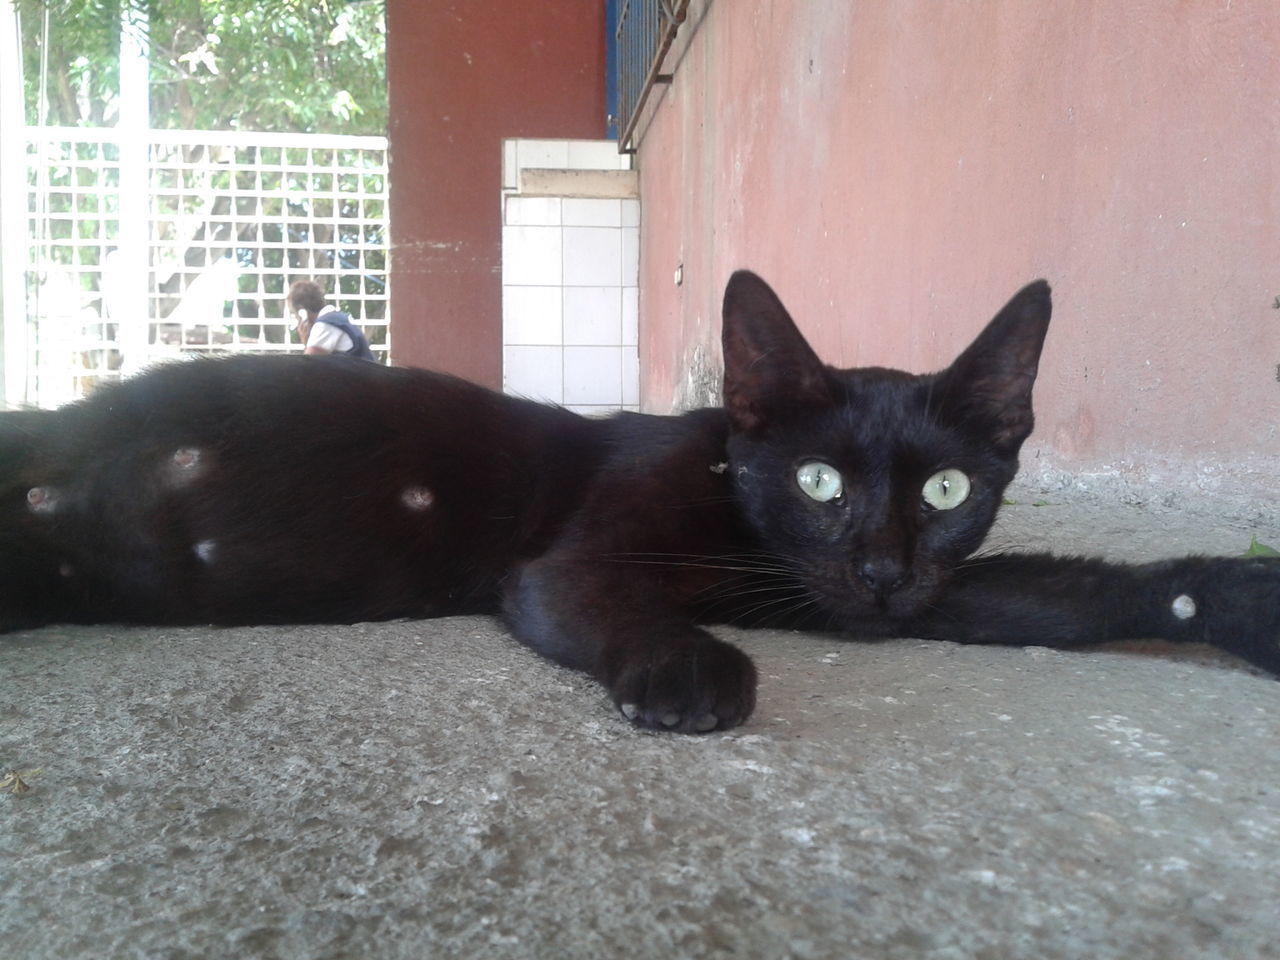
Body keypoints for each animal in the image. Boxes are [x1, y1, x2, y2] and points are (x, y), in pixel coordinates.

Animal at [5, 267, 1274, 732]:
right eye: (817, 478)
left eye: (948, 489)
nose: (877, 566)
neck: (730, 512)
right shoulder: (570, 565)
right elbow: (621, 601)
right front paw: (688, 671)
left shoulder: (877, 598)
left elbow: (1072, 598)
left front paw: (1232, 597)